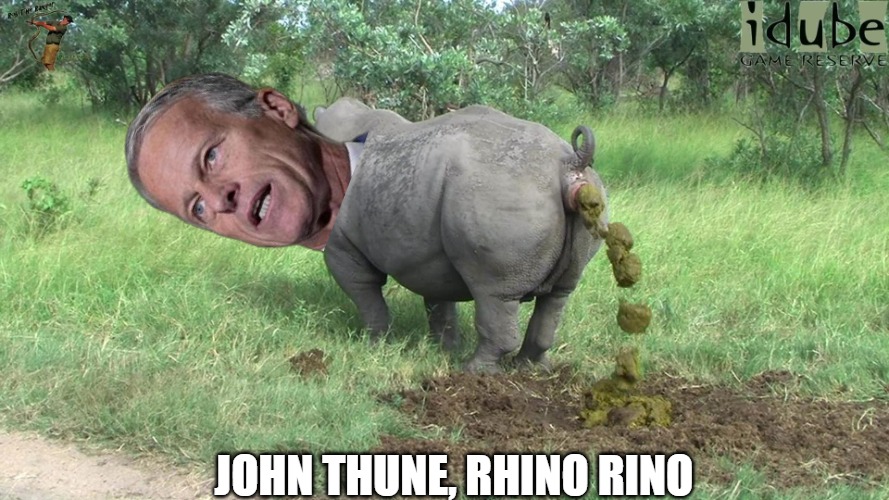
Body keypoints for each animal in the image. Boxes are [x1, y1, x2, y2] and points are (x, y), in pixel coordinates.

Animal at [314, 98, 608, 372]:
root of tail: (571, 165)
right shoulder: (428, 253)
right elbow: (437, 299)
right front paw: (443, 348)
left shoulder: (342, 243)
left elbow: (364, 291)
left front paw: (375, 343)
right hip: (583, 196)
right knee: (558, 295)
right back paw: (530, 368)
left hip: (501, 191)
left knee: (494, 294)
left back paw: (474, 371)